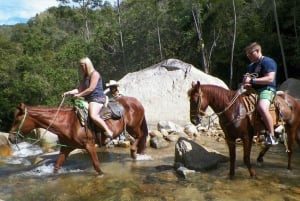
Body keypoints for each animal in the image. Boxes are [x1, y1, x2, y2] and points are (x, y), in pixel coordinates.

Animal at [7, 96, 148, 176]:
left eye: (17, 120)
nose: (10, 138)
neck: (67, 123)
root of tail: (136, 101)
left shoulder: (89, 145)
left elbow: (96, 165)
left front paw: (102, 174)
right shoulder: (66, 148)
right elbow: (57, 166)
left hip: (133, 126)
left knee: (140, 135)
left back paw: (133, 152)